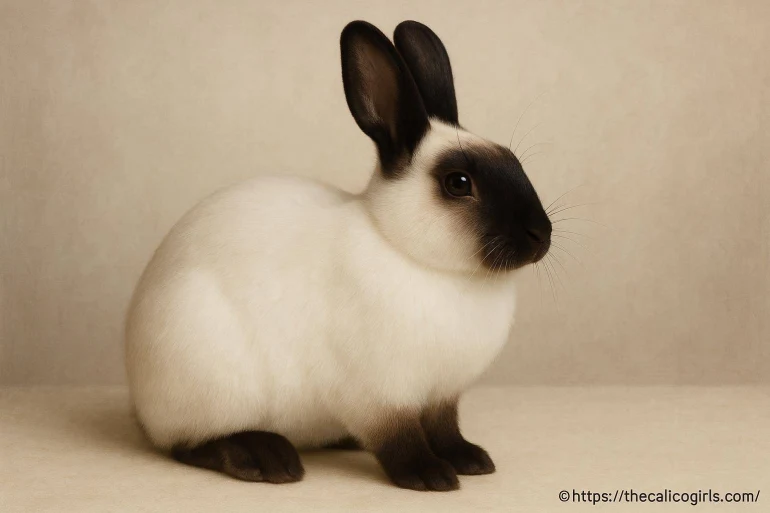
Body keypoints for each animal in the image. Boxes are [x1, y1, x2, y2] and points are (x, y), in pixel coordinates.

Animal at [125, 20, 552, 491]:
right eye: (458, 183)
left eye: (514, 161)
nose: (542, 235)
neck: (412, 253)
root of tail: (141, 401)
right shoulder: (378, 394)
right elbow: (399, 438)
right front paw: (430, 476)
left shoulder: (442, 394)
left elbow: (445, 429)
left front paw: (471, 460)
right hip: (207, 380)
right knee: (187, 445)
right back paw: (266, 459)